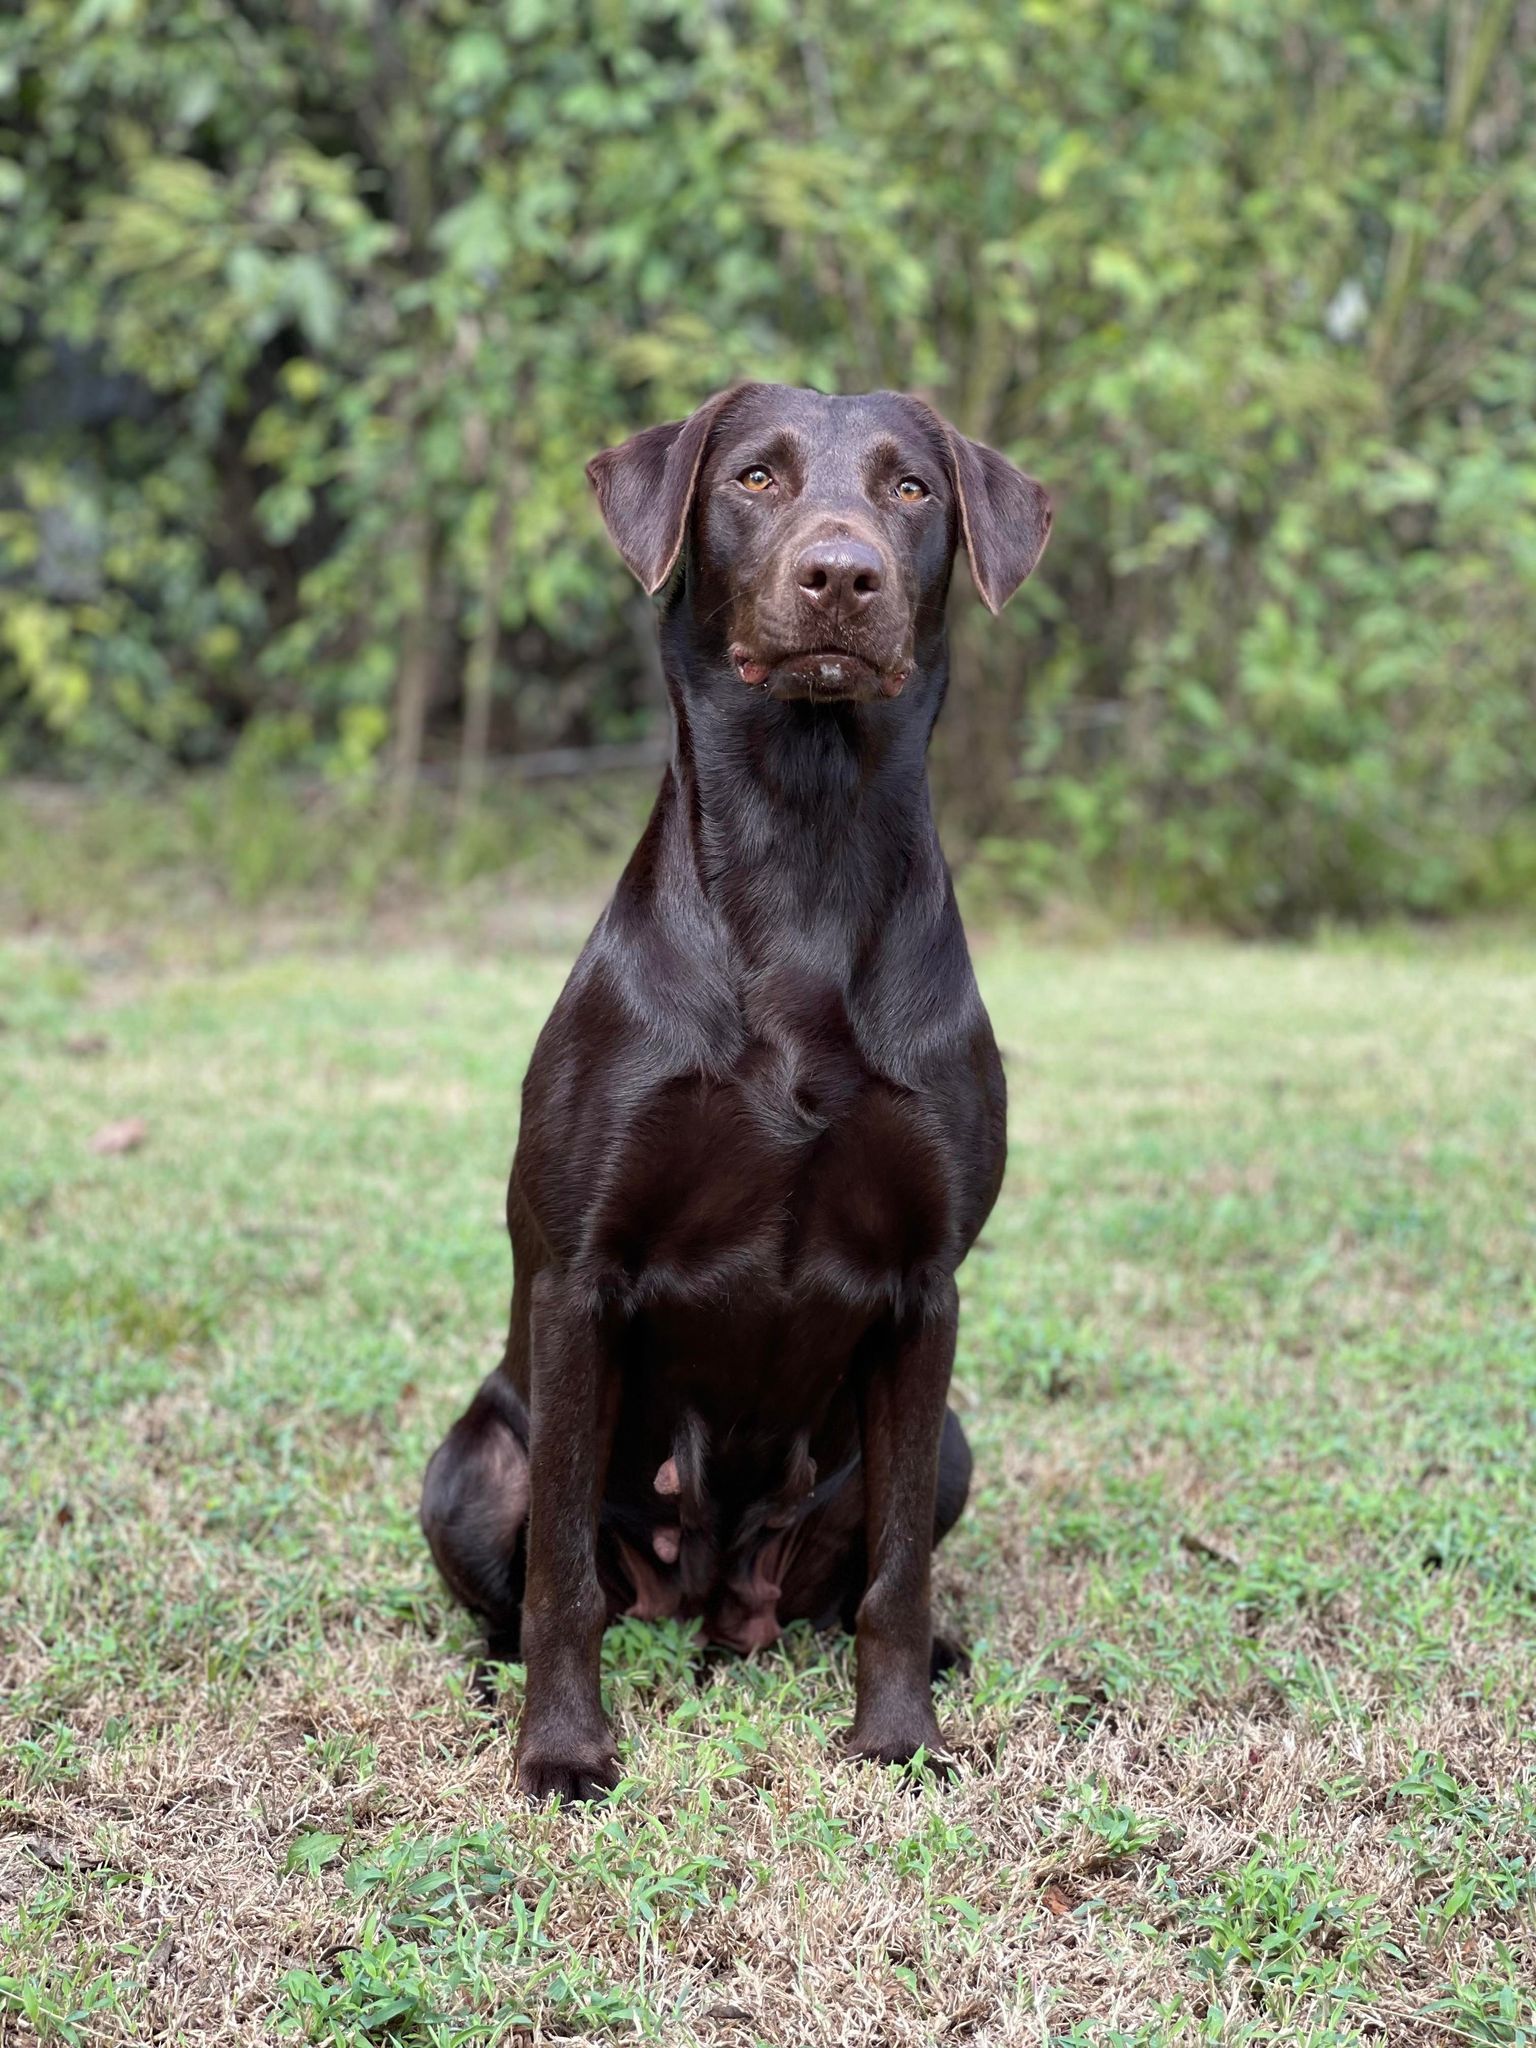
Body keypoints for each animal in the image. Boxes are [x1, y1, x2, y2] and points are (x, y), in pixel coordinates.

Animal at [421, 385, 1056, 1794]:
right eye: (755, 478)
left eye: (913, 489)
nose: (842, 574)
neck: (803, 850)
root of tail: (712, 1601)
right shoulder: (580, 1276)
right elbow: (560, 1576)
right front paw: (562, 1752)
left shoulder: (928, 1285)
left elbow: (896, 1576)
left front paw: (899, 1735)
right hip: (472, 1456)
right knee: (530, 1576)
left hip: (943, 1445)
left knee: (842, 1579)